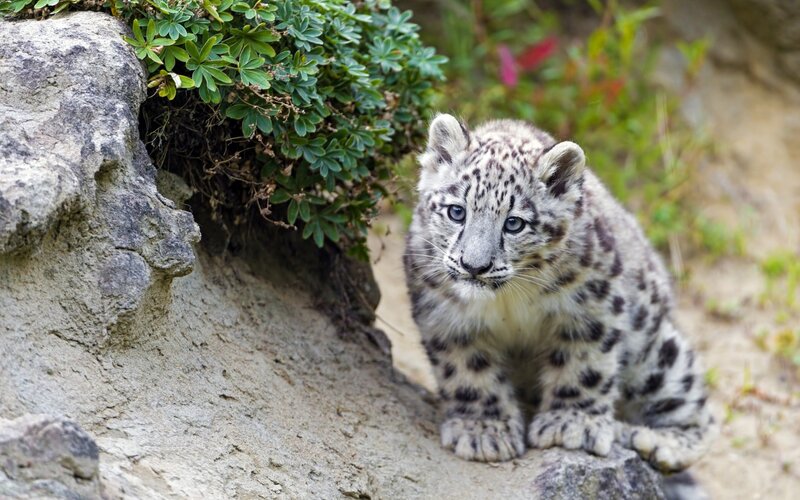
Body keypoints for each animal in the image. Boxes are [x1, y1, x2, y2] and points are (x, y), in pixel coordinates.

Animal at [403, 114, 715, 477]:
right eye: (456, 212)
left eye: (514, 223)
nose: (474, 266)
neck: (507, 300)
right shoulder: (445, 314)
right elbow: (468, 370)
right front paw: (483, 430)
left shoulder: (592, 306)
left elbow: (584, 366)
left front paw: (572, 425)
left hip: (657, 355)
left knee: (699, 411)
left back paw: (653, 441)